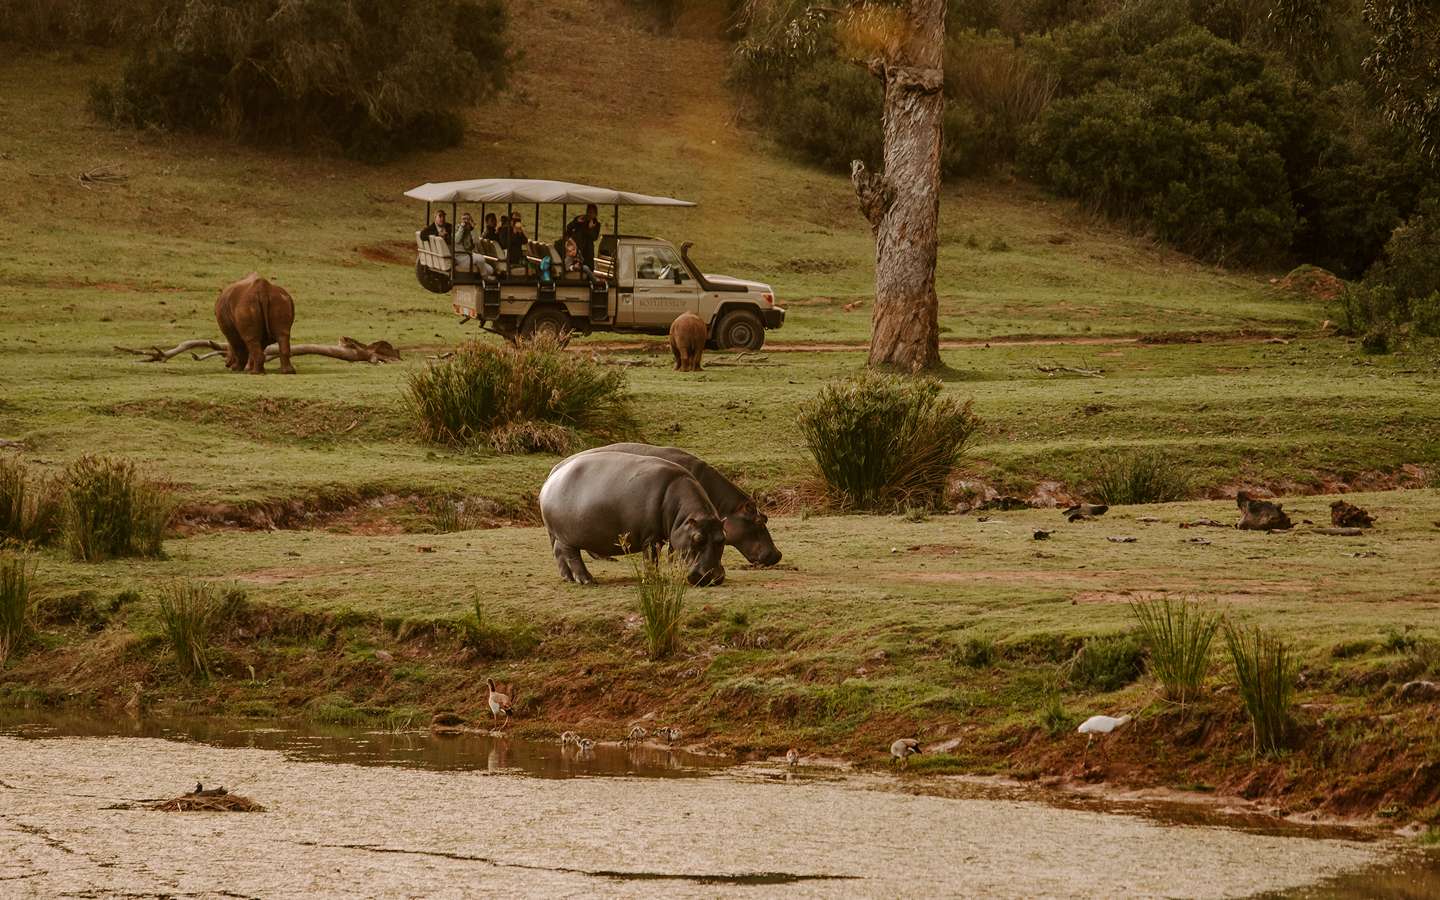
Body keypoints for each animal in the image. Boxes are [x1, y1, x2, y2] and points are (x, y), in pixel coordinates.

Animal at [541, 452, 725, 587]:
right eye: (697, 538)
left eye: (723, 538)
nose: (713, 578)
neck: (682, 515)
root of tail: (550, 479)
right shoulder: (651, 537)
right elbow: (651, 558)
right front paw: (652, 580)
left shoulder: (669, 536)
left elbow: (668, 556)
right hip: (567, 536)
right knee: (571, 556)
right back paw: (587, 580)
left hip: (558, 535)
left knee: (559, 553)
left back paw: (568, 578)